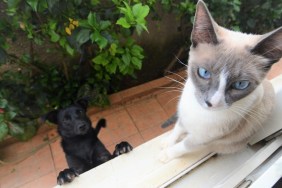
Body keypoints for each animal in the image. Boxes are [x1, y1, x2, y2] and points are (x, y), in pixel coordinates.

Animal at [160, 0, 280, 162]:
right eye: (204, 73)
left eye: (240, 84)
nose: (212, 103)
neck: (199, 112)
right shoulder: (183, 116)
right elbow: (177, 129)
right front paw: (167, 143)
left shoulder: (202, 139)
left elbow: (183, 146)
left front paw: (166, 155)